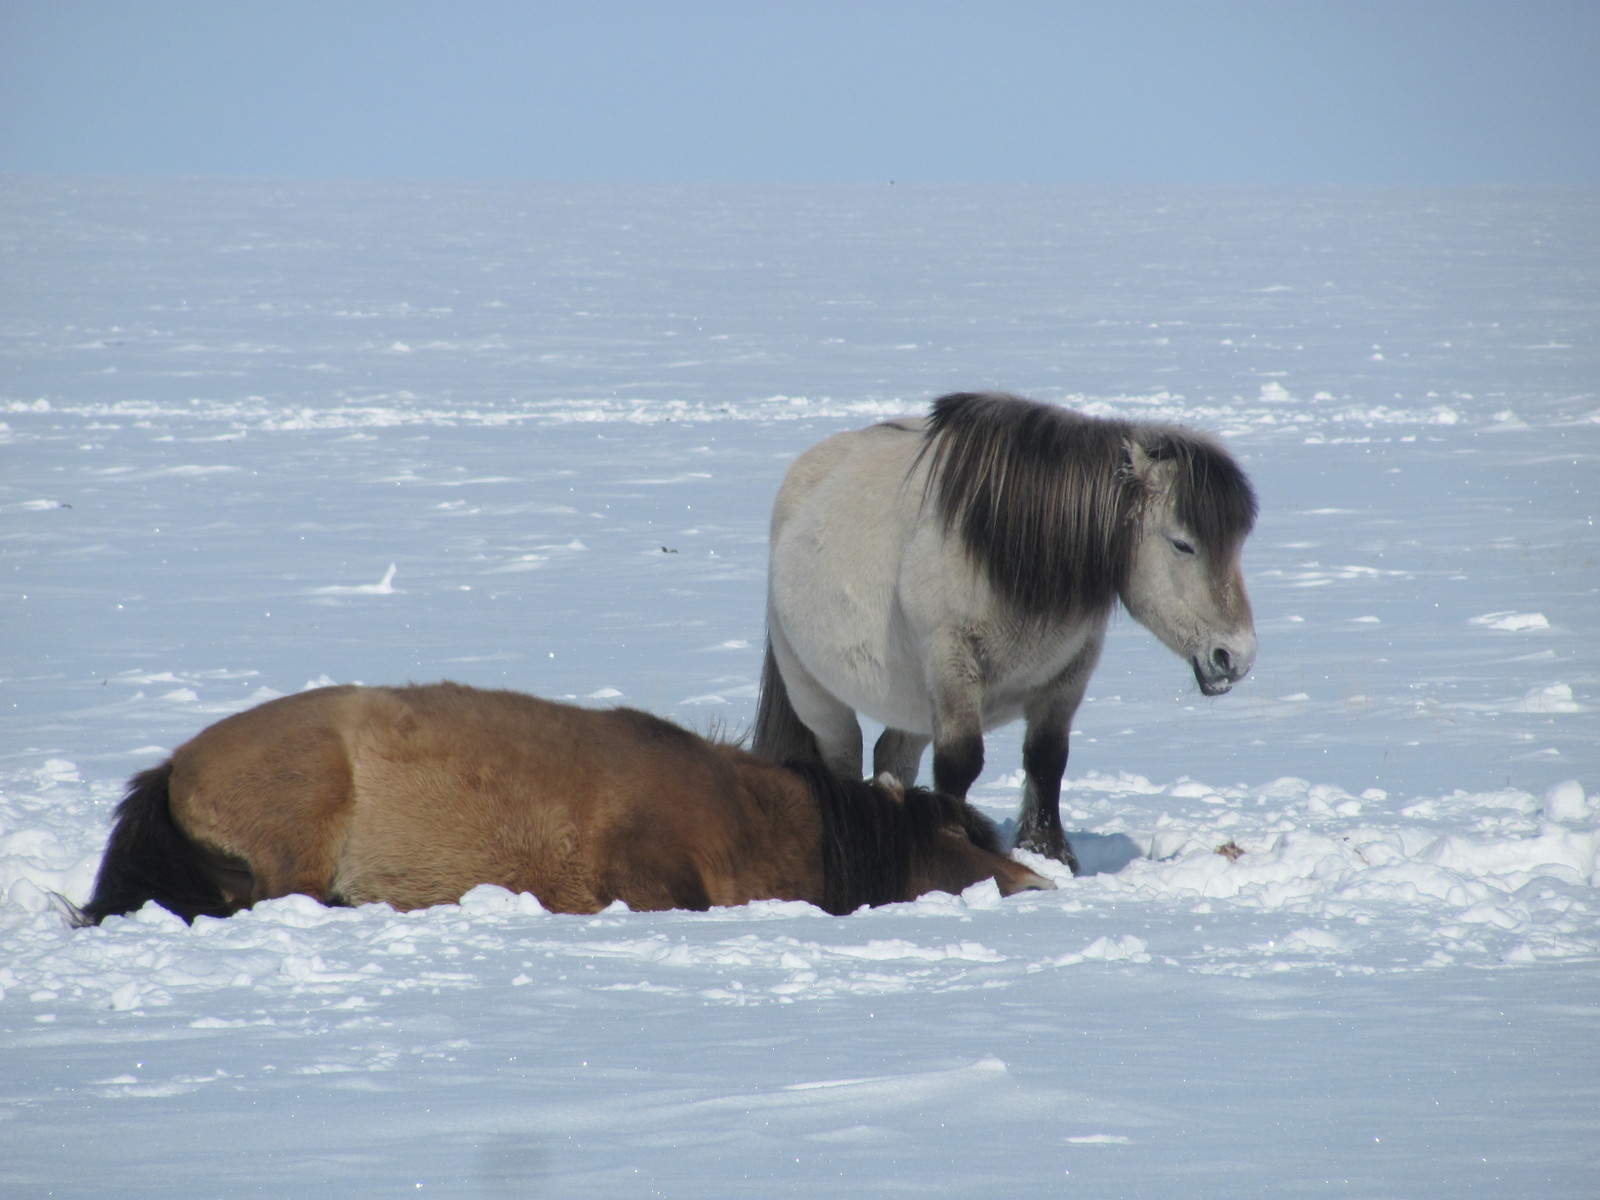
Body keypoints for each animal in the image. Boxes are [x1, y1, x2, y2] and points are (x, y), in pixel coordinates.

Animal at [755, 395, 1254, 876]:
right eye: (1182, 543)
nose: (1236, 657)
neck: (1001, 549)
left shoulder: (1069, 673)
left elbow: (1047, 758)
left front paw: (1048, 853)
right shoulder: (952, 663)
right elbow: (960, 763)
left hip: (911, 706)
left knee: (892, 759)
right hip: (817, 697)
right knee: (845, 758)